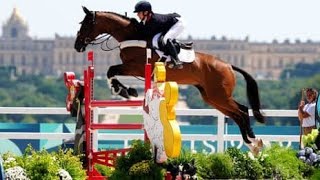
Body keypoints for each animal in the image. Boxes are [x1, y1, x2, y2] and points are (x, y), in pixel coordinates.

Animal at [74, 6, 264, 153]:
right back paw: (253, 144)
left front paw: (124, 90)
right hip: (212, 97)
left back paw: (254, 142)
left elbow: (111, 70)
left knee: (241, 112)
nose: (77, 46)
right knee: (238, 113)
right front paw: (126, 90)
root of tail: (228, 65)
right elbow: (110, 71)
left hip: (219, 95)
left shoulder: (134, 67)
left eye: (85, 25)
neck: (132, 36)